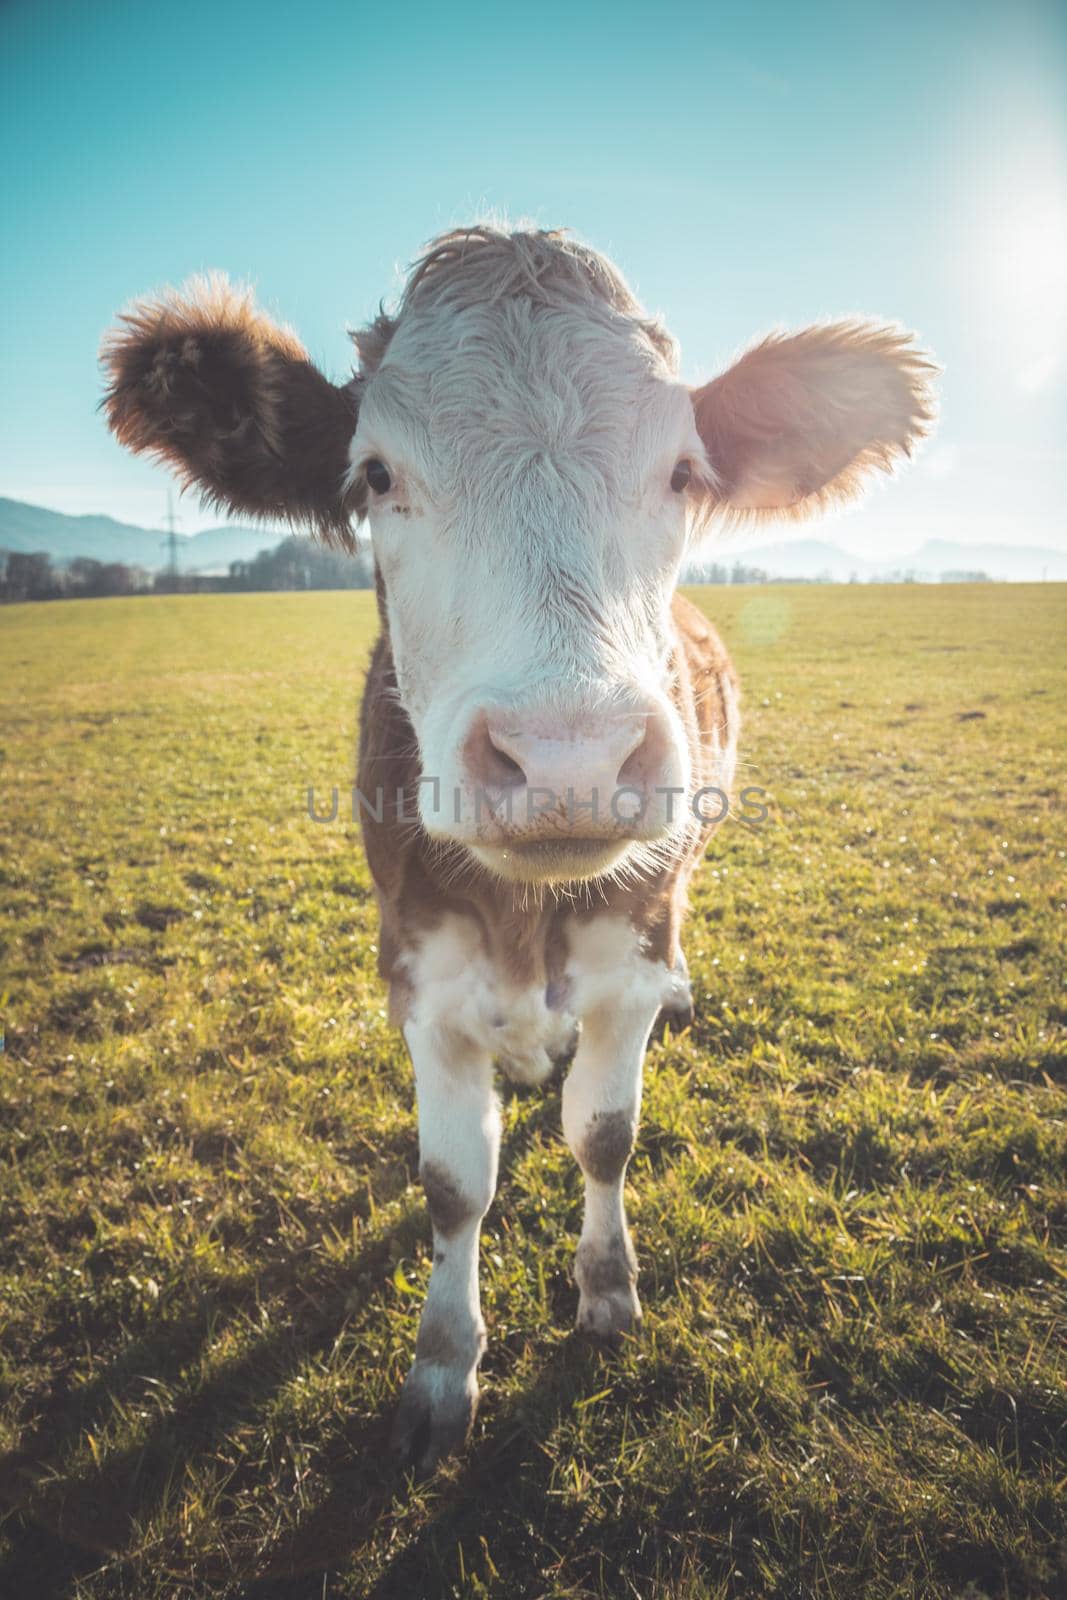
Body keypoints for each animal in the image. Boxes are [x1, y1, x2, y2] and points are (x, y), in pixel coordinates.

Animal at [99, 219, 934, 1465]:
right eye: (375, 474)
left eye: (681, 471)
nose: (565, 760)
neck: (523, 916)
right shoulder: (420, 980)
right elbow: (454, 1182)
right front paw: (444, 1365)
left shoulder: (625, 969)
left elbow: (603, 1134)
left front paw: (605, 1293)